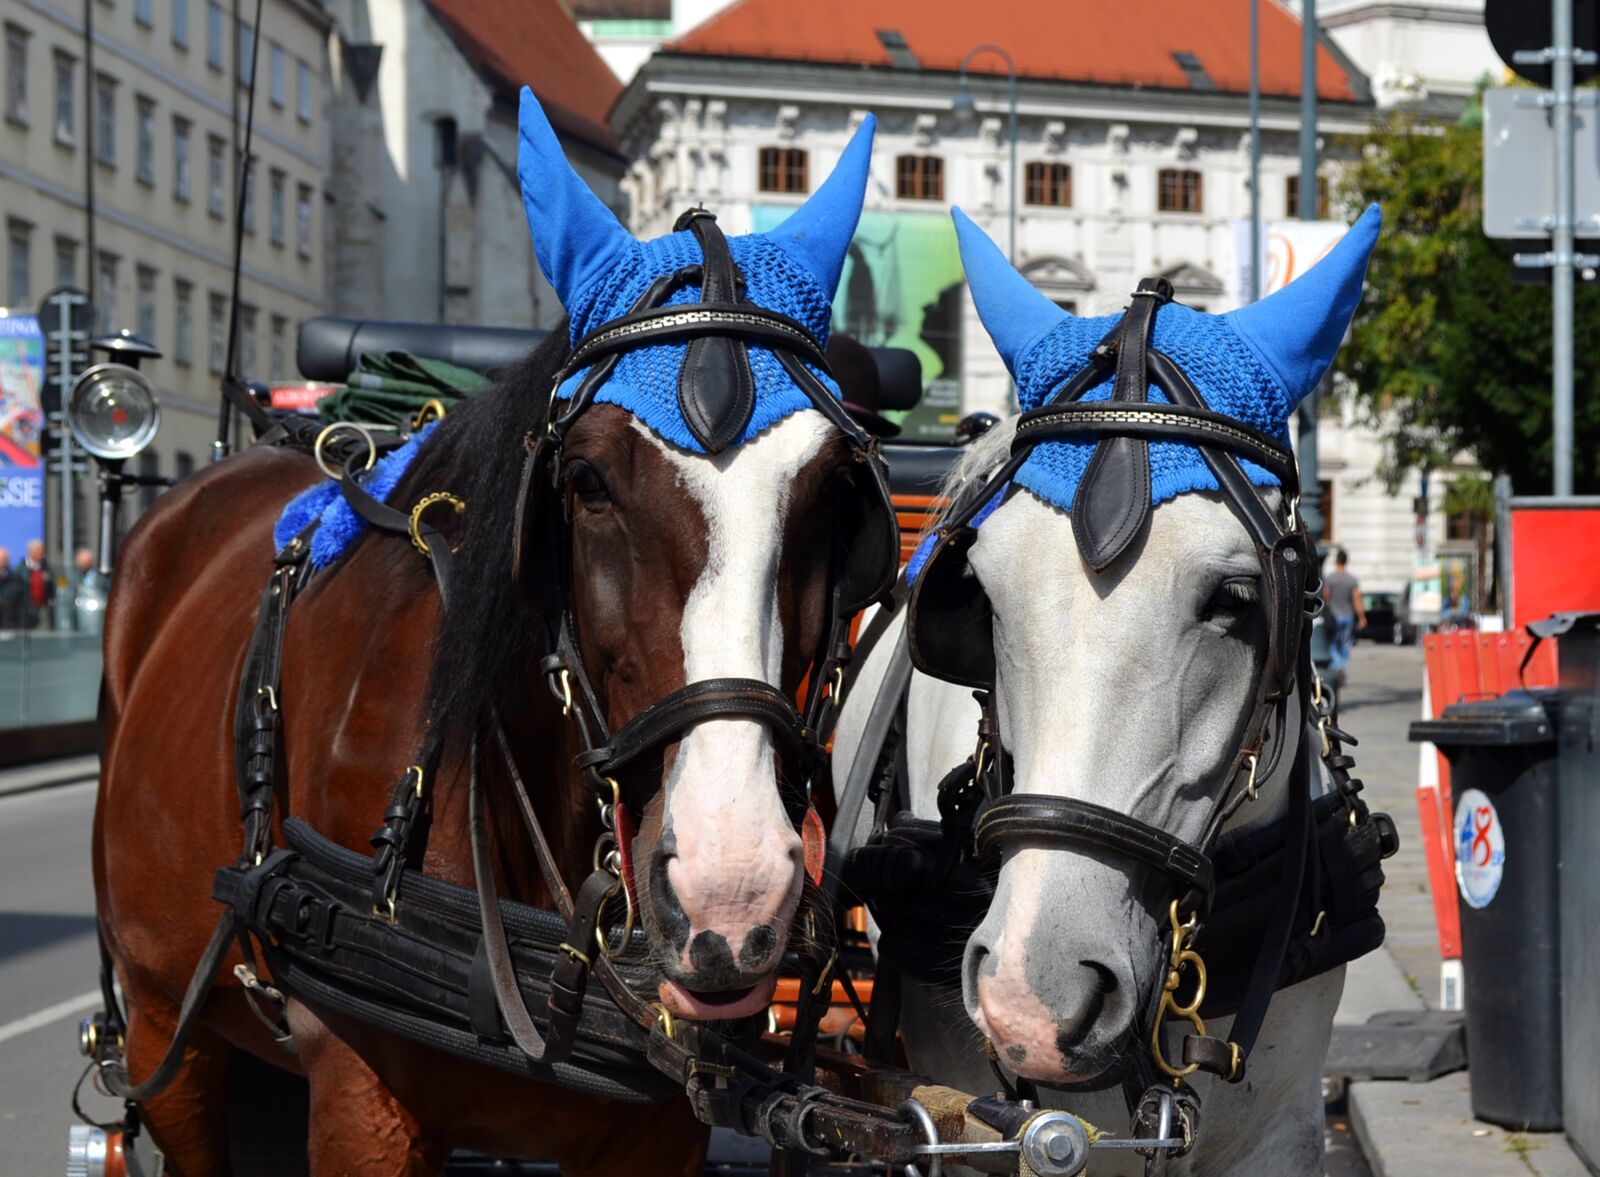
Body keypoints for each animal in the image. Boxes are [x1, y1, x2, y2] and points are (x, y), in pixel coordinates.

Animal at [91, 89, 894, 1176]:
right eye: (585, 481)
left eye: (830, 491)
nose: (730, 893)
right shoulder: (364, 1108)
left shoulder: (656, 1134)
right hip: (161, 1024)